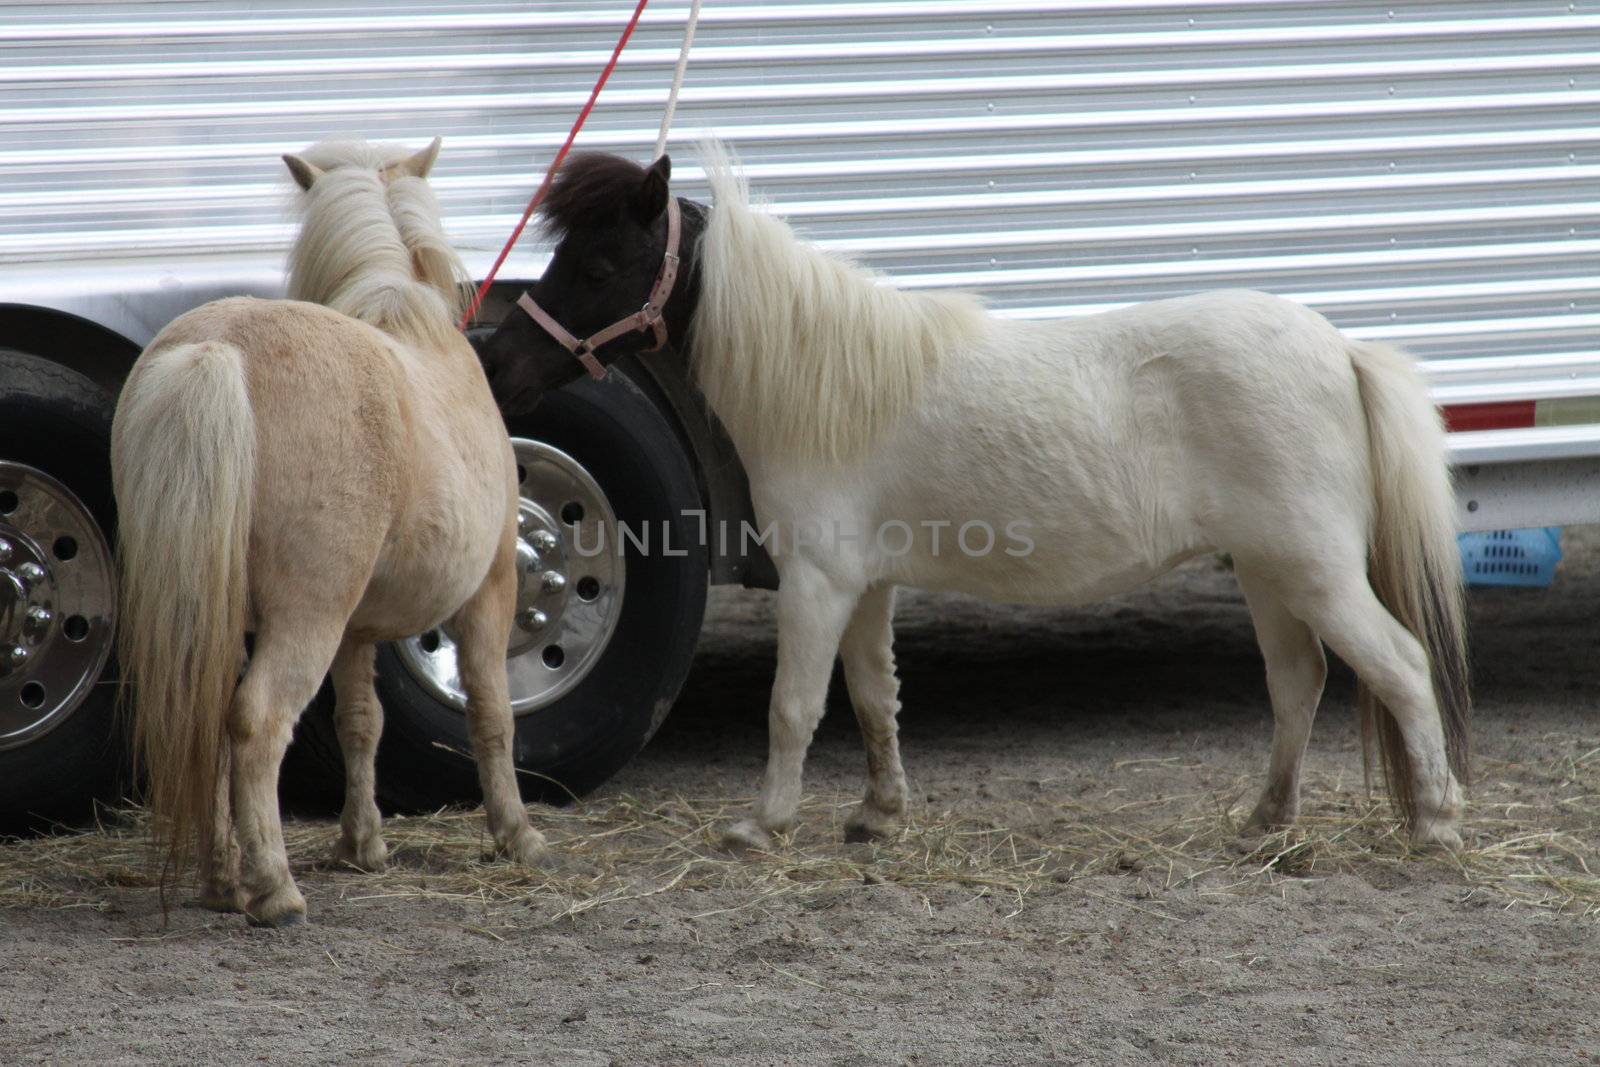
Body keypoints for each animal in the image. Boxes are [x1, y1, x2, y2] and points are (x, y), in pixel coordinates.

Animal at [112, 139, 547, 927]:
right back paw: (274, 889)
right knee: (256, 724)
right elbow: (492, 713)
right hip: (306, 616)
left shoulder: (356, 628)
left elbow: (360, 723)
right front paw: (516, 833)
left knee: (210, 724)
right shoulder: (492, 590)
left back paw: (223, 883)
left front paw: (361, 844)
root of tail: (216, 351)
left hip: (217, 614)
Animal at [476, 143, 1472, 851]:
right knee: (1297, 683)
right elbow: (874, 699)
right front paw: (877, 816)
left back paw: (1434, 822)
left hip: (1314, 571)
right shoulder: (867, 585)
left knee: (1400, 665)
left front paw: (763, 824)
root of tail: (1340, 349)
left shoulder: (819, 581)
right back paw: (1264, 820)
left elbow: (793, 707)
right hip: (1270, 571)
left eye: (599, 265)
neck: (826, 383)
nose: (497, 365)